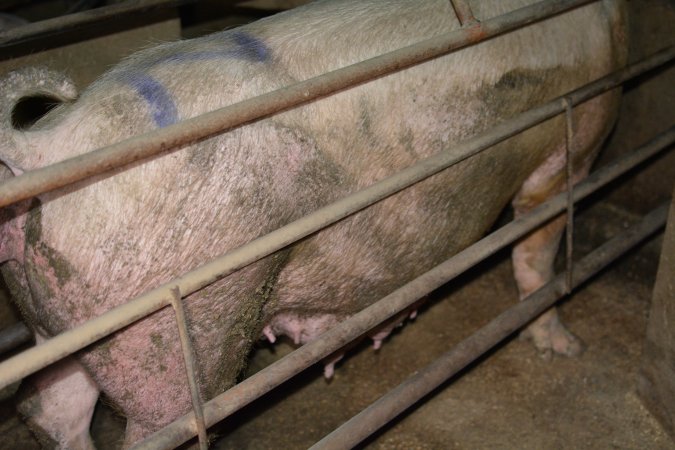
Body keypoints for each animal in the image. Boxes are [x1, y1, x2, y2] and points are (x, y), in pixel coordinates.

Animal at [0, 0, 628, 446]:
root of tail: (45, 145)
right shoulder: (582, 126)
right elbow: (538, 241)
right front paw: (567, 347)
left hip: (62, 319)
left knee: (50, 411)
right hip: (169, 330)